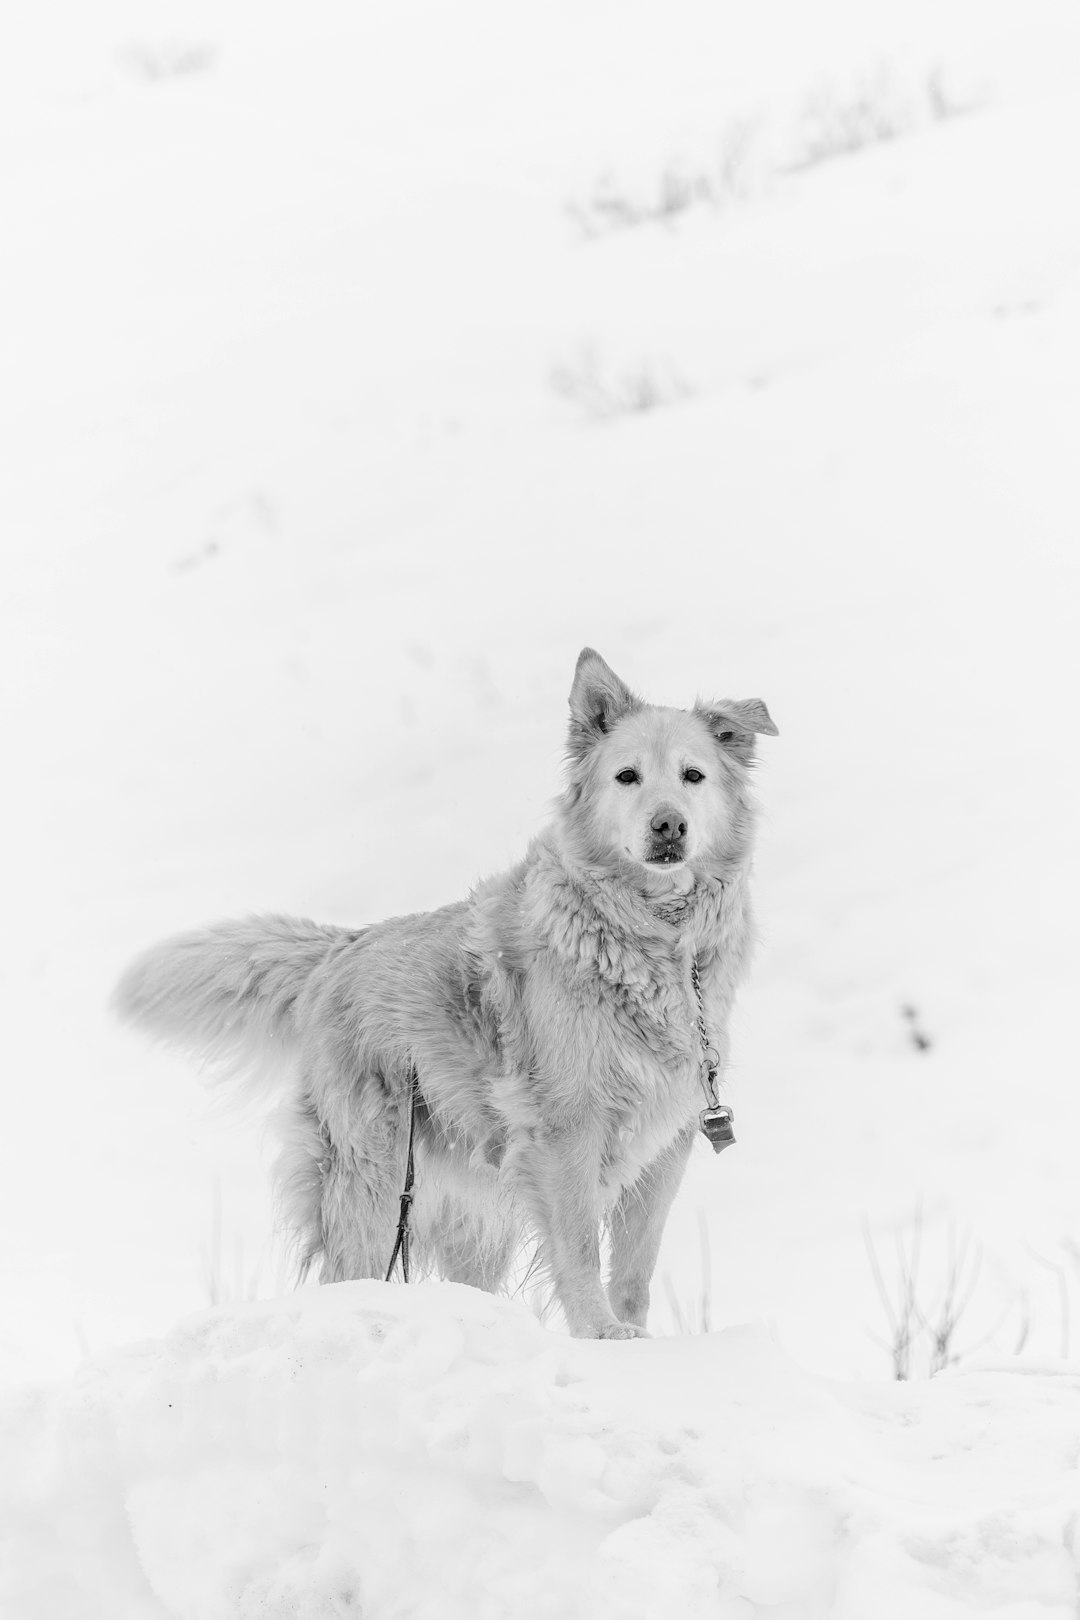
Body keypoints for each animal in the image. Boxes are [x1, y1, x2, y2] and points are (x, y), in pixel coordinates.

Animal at [116, 648, 777, 1341]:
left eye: (693, 776)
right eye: (627, 776)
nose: (668, 825)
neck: (649, 936)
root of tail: (341, 947)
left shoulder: (665, 1141)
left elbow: (634, 1265)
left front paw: (636, 1338)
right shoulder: (564, 1128)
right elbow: (576, 1246)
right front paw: (598, 1334)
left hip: (471, 1198)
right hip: (374, 1177)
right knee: (348, 1274)